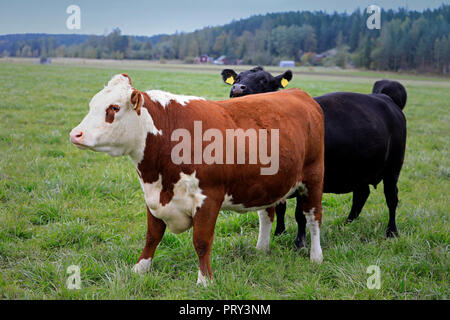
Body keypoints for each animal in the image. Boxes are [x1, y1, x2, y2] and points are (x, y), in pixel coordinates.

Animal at [69, 75, 324, 284]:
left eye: (114, 107)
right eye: (92, 105)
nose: (75, 134)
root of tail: (299, 94)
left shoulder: (208, 198)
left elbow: (201, 241)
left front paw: (204, 280)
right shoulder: (153, 196)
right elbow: (152, 236)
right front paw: (140, 268)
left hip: (313, 180)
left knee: (313, 220)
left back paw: (316, 257)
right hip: (268, 184)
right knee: (266, 215)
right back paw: (261, 249)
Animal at [221, 67, 408, 248]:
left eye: (264, 80)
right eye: (238, 78)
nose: (238, 88)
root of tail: (385, 98)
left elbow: (299, 213)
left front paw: (300, 243)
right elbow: (280, 208)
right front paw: (279, 233)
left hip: (393, 168)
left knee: (391, 198)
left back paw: (392, 232)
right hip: (359, 170)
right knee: (361, 194)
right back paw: (346, 224)